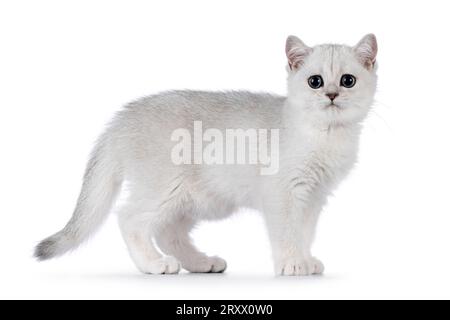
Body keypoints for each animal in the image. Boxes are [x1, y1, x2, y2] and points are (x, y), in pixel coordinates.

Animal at [35, 34, 378, 276]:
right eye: (314, 82)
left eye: (347, 80)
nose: (331, 94)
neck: (326, 136)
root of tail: (122, 117)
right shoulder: (284, 193)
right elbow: (287, 233)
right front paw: (292, 264)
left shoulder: (314, 197)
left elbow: (304, 233)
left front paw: (305, 260)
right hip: (165, 188)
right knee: (129, 218)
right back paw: (155, 264)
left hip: (196, 199)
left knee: (168, 232)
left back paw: (200, 263)